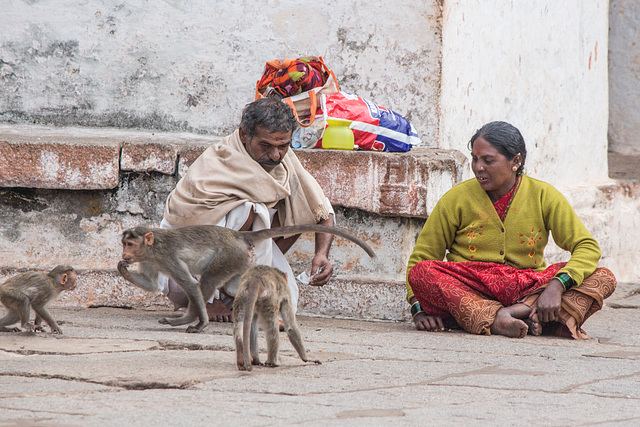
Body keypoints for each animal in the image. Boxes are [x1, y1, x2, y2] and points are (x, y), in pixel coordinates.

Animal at [119, 224, 376, 334]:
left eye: (129, 243)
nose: (124, 254)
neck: (153, 248)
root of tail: (238, 236)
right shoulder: (152, 259)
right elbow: (152, 283)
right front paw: (122, 269)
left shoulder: (167, 257)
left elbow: (191, 285)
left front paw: (195, 321)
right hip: (241, 260)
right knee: (231, 285)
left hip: (230, 256)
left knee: (207, 281)